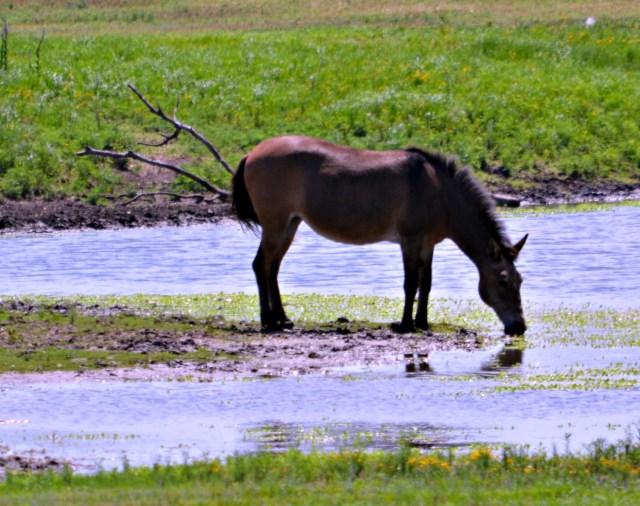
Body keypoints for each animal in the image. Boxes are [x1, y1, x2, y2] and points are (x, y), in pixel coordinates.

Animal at [232, 135, 528, 335]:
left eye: (520, 280)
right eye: (502, 280)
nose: (519, 327)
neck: (438, 191)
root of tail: (252, 153)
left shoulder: (428, 243)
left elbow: (426, 283)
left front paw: (422, 322)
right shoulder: (410, 240)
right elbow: (411, 283)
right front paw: (406, 323)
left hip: (290, 223)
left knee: (272, 268)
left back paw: (282, 318)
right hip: (275, 224)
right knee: (261, 265)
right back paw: (268, 320)